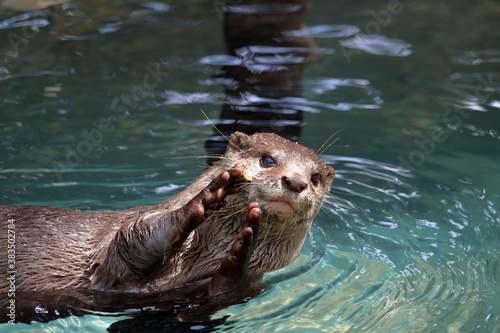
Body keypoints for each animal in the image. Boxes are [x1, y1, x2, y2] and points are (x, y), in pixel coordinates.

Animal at [0, 131, 336, 322]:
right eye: (267, 160)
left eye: (315, 177)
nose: (296, 181)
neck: (193, 261)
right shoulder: (112, 256)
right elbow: (132, 239)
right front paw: (206, 196)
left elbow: (225, 290)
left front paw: (241, 249)